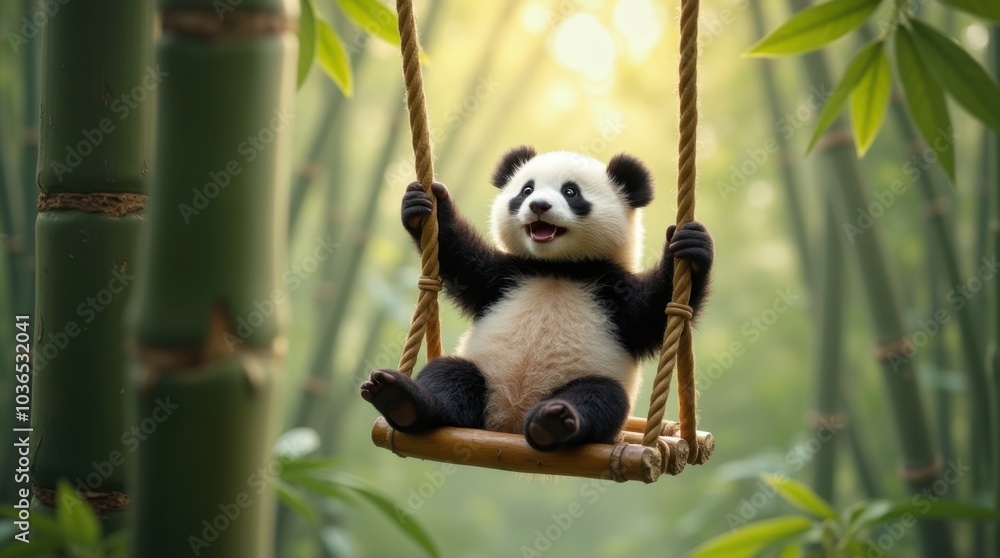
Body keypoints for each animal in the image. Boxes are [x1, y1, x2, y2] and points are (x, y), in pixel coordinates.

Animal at [360, 146, 713, 451]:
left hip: (586, 384)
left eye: (571, 192)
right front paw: (424, 206)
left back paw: (555, 422)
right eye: (526, 190)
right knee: (450, 377)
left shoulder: (611, 290)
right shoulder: (506, 276)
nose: (538, 206)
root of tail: (510, 422)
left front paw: (691, 248)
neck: (557, 268)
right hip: (483, 377)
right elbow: (459, 258)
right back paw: (403, 399)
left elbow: (655, 312)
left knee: (600, 396)